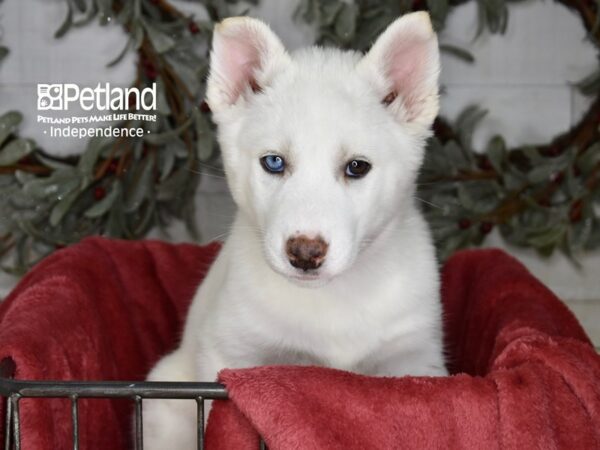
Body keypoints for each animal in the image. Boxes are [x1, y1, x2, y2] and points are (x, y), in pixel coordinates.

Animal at [144, 12, 446, 448]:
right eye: (273, 162)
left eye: (357, 167)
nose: (305, 253)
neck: (333, 299)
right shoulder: (230, 354)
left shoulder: (415, 358)